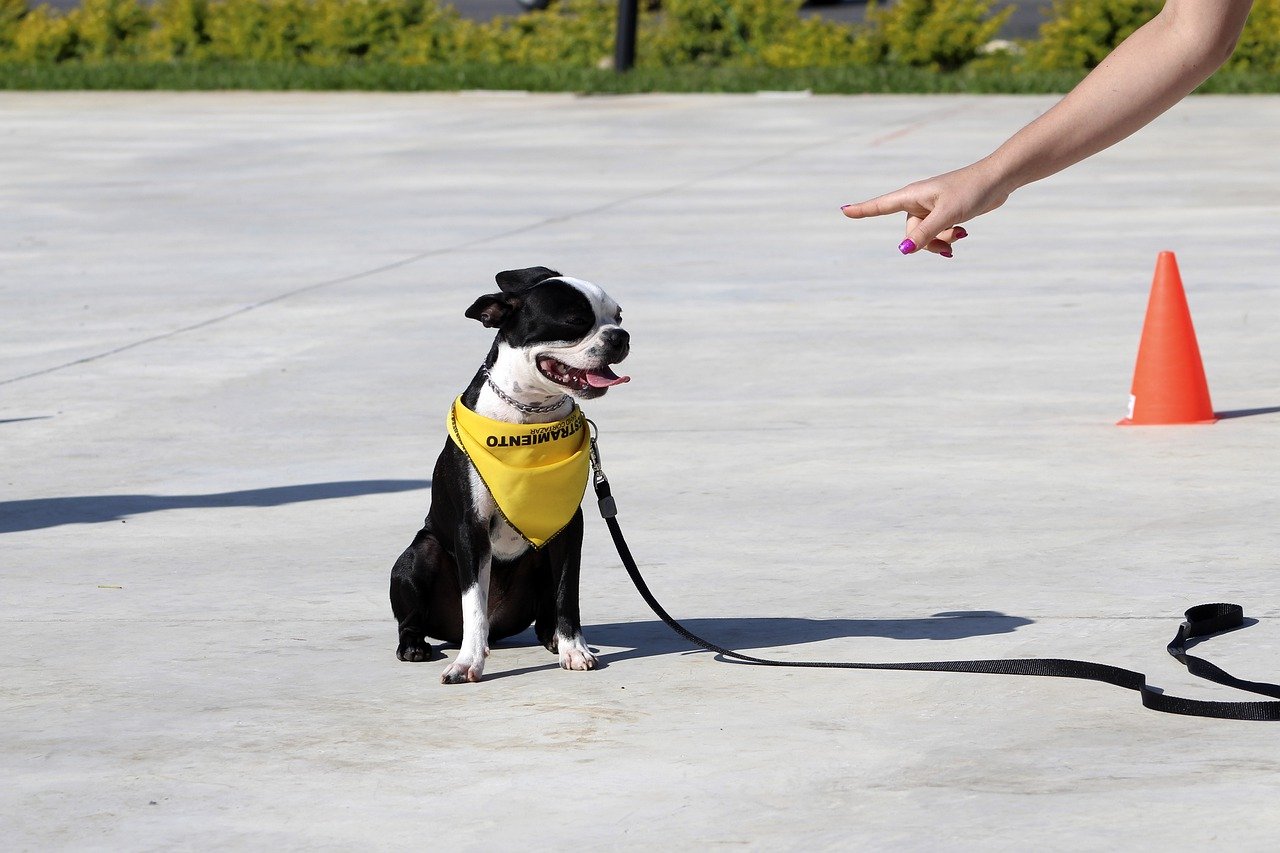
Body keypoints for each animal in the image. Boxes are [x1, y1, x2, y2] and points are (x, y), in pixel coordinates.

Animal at [389, 268, 629, 681]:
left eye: (618, 316)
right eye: (575, 321)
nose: (620, 337)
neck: (528, 415)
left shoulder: (569, 528)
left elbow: (568, 594)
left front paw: (575, 649)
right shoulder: (471, 528)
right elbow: (473, 604)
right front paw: (468, 662)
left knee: (544, 613)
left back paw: (553, 639)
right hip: (417, 556)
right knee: (418, 618)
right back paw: (416, 646)